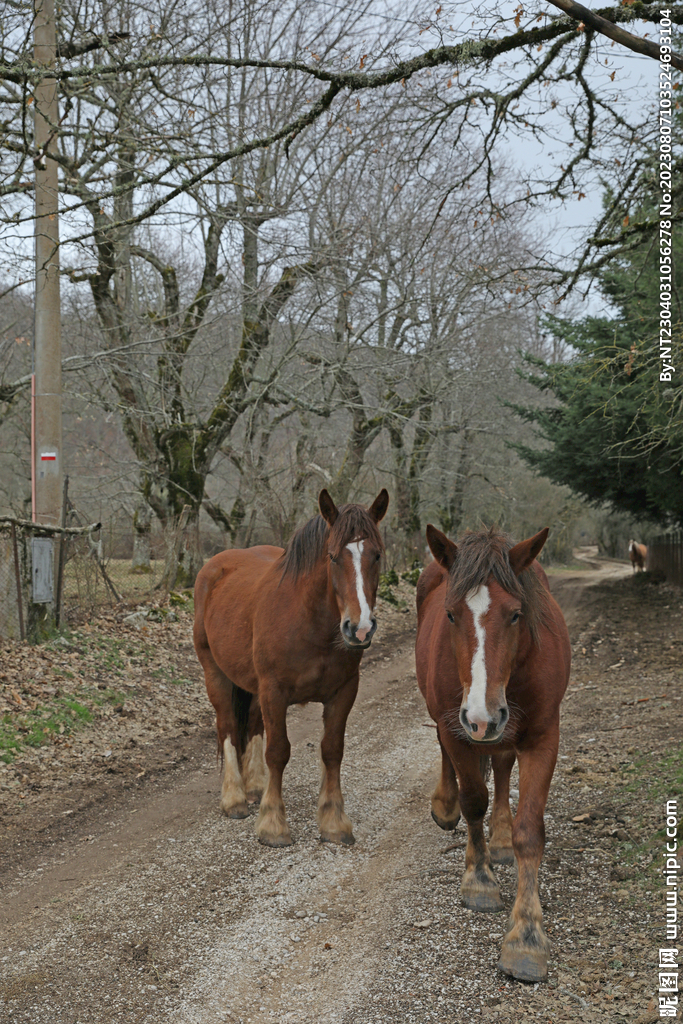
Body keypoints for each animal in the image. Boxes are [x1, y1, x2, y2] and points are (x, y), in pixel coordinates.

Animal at [193, 488, 389, 848]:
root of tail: (213, 568)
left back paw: (256, 786)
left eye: (377, 555)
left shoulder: (344, 692)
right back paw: (235, 798)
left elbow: (332, 750)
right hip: (215, 674)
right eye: (332, 557)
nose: (360, 629)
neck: (310, 622)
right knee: (227, 725)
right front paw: (273, 824)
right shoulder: (275, 691)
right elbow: (279, 751)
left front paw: (334, 822)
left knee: (253, 724)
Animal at [415, 525, 571, 983]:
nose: (483, 717)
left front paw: (526, 936)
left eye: (516, 614)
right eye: (451, 614)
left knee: (502, 765)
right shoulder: (458, 730)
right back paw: (446, 807)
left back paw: (499, 839)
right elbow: (473, 802)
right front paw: (479, 880)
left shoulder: (543, 739)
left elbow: (529, 833)